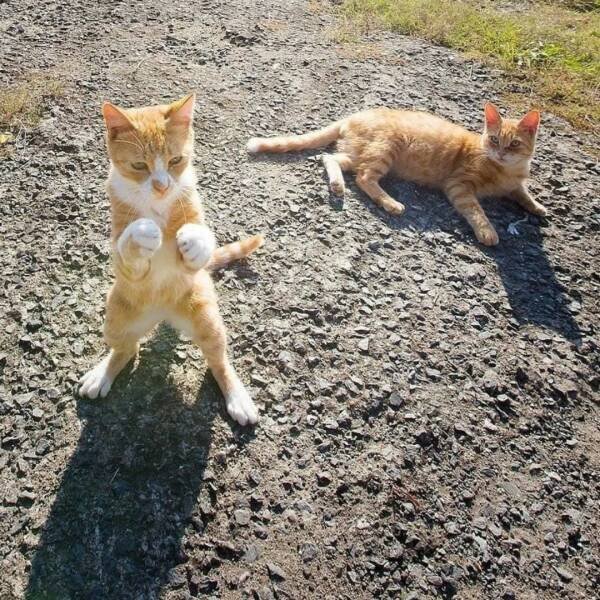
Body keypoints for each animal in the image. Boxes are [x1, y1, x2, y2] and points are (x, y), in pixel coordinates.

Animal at [79, 93, 263, 426]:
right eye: (139, 165)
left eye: (176, 160)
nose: (163, 186)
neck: (158, 207)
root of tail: (163, 314)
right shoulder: (125, 261)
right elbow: (127, 250)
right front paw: (142, 232)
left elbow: (203, 236)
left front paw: (196, 241)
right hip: (115, 320)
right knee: (127, 348)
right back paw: (103, 374)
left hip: (207, 317)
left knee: (218, 360)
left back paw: (237, 397)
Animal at [247, 103, 546, 246]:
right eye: (494, 140)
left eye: (514, 144)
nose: (501, 152)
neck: (505, 170)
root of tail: (353, 116)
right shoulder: (459, 186)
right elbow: (476, 211)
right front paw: (488, 231)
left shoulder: (515, 185)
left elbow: (524, 194)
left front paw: (538, 207)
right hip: (385, 150)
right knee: (364, 177)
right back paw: (391, 203)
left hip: (357, 153)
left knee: (329, 158)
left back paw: (337, 185)